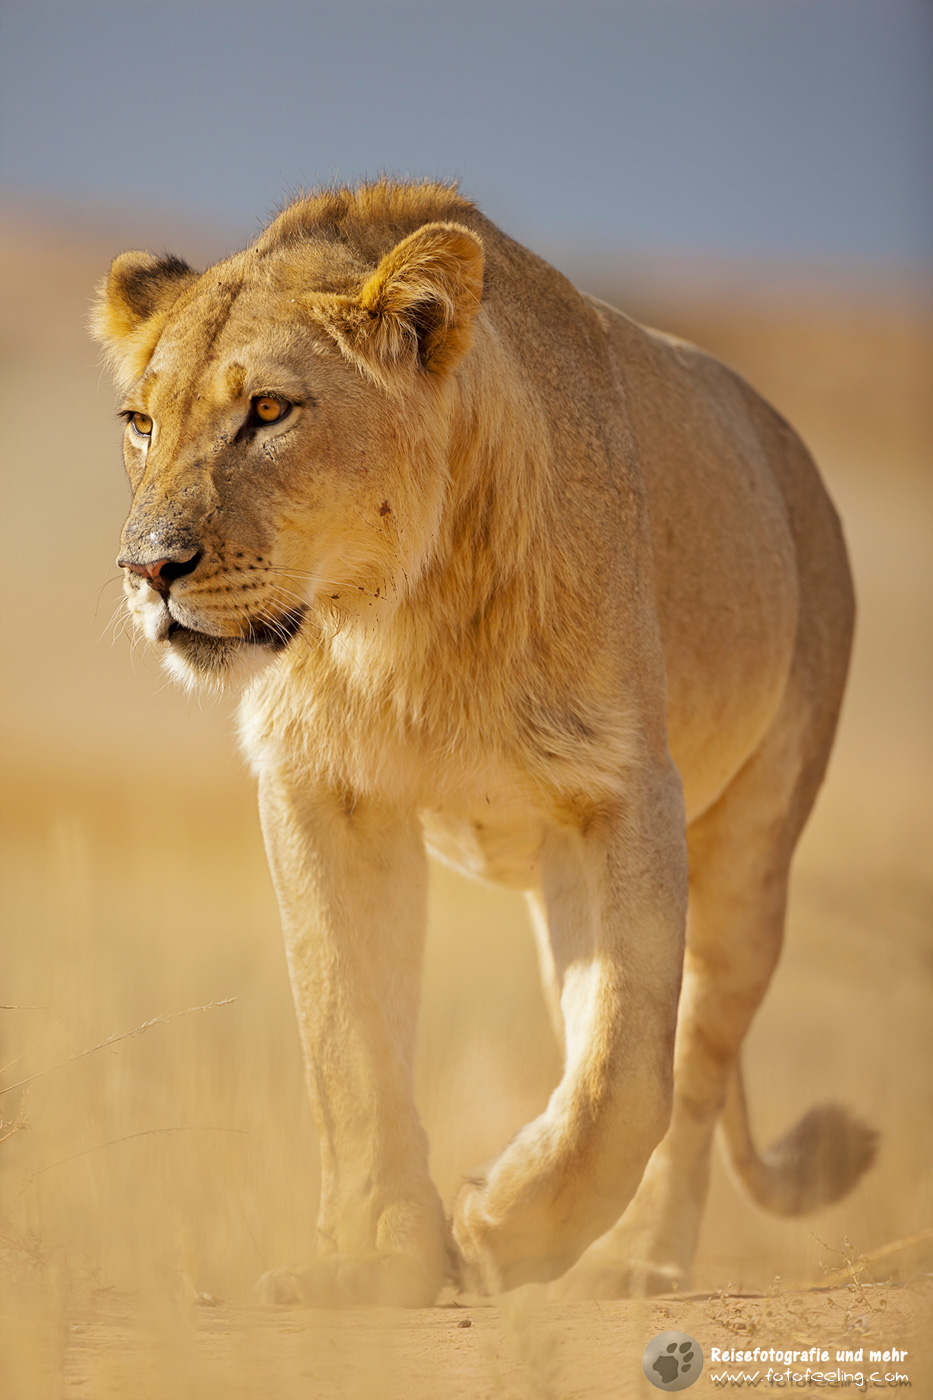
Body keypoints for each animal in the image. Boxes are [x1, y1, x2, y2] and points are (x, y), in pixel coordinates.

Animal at [92, 178, 876, 1307]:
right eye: (142, 423)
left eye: (270, 412)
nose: (149, 567)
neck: (396, 618)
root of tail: (790, 448)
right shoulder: (324, 787)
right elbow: (351, 1040)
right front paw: (379, 1258)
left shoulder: (627, 786)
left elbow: (629, 1069)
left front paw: (509, 1223)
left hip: (751, 850)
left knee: (694, 1063)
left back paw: (635, 1259)